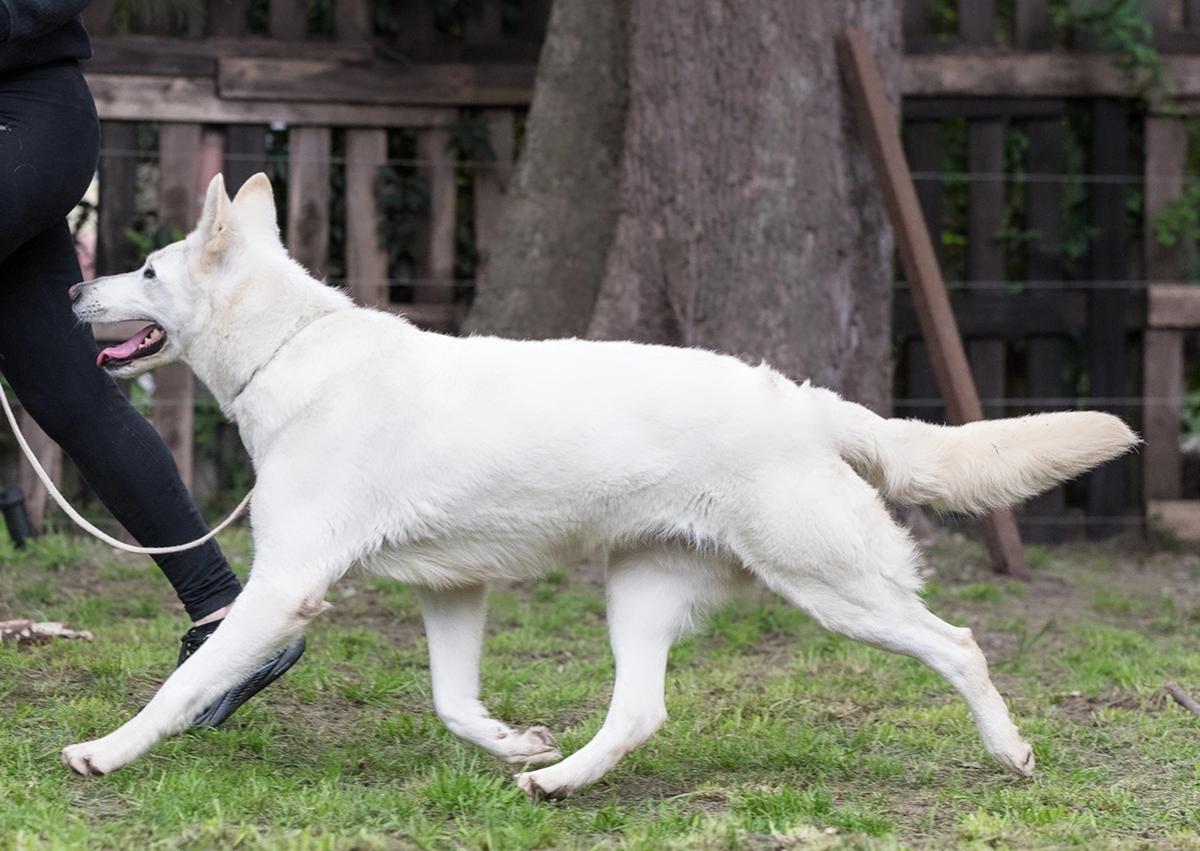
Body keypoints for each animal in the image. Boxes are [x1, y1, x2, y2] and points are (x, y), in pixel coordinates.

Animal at [63, 172, 1132, 796]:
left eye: (147, 269)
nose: (73, 287)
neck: (292, 351)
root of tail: (808, 402)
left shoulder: (285, 586)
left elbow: (185, 681)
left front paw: (105, 752)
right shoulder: (452, 590)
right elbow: (453, 703)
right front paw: (517, 746)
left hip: (836, 590)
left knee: (960, 645)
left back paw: (1011, 752)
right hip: (642, 593)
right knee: (639, 712)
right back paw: (559, 781)